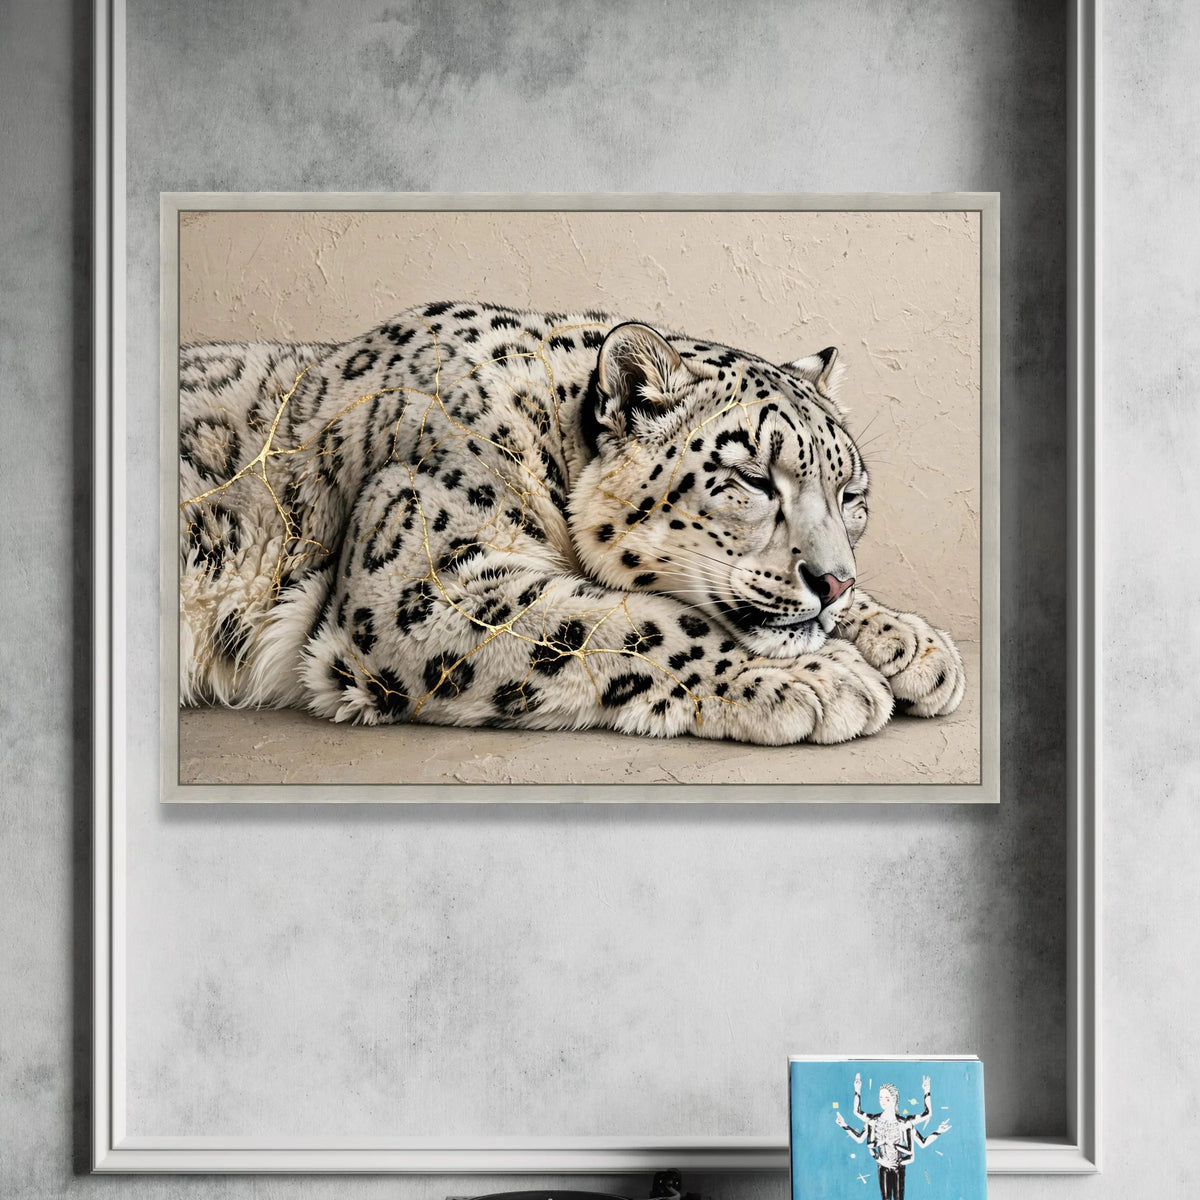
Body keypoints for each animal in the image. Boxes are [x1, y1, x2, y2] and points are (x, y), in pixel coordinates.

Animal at [178, 301, 966, 747]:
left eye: (852, 494)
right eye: (750, 479)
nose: (833, 582)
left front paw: (913, 645)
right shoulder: (420, 585)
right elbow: (634, 621)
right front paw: (829, 677)